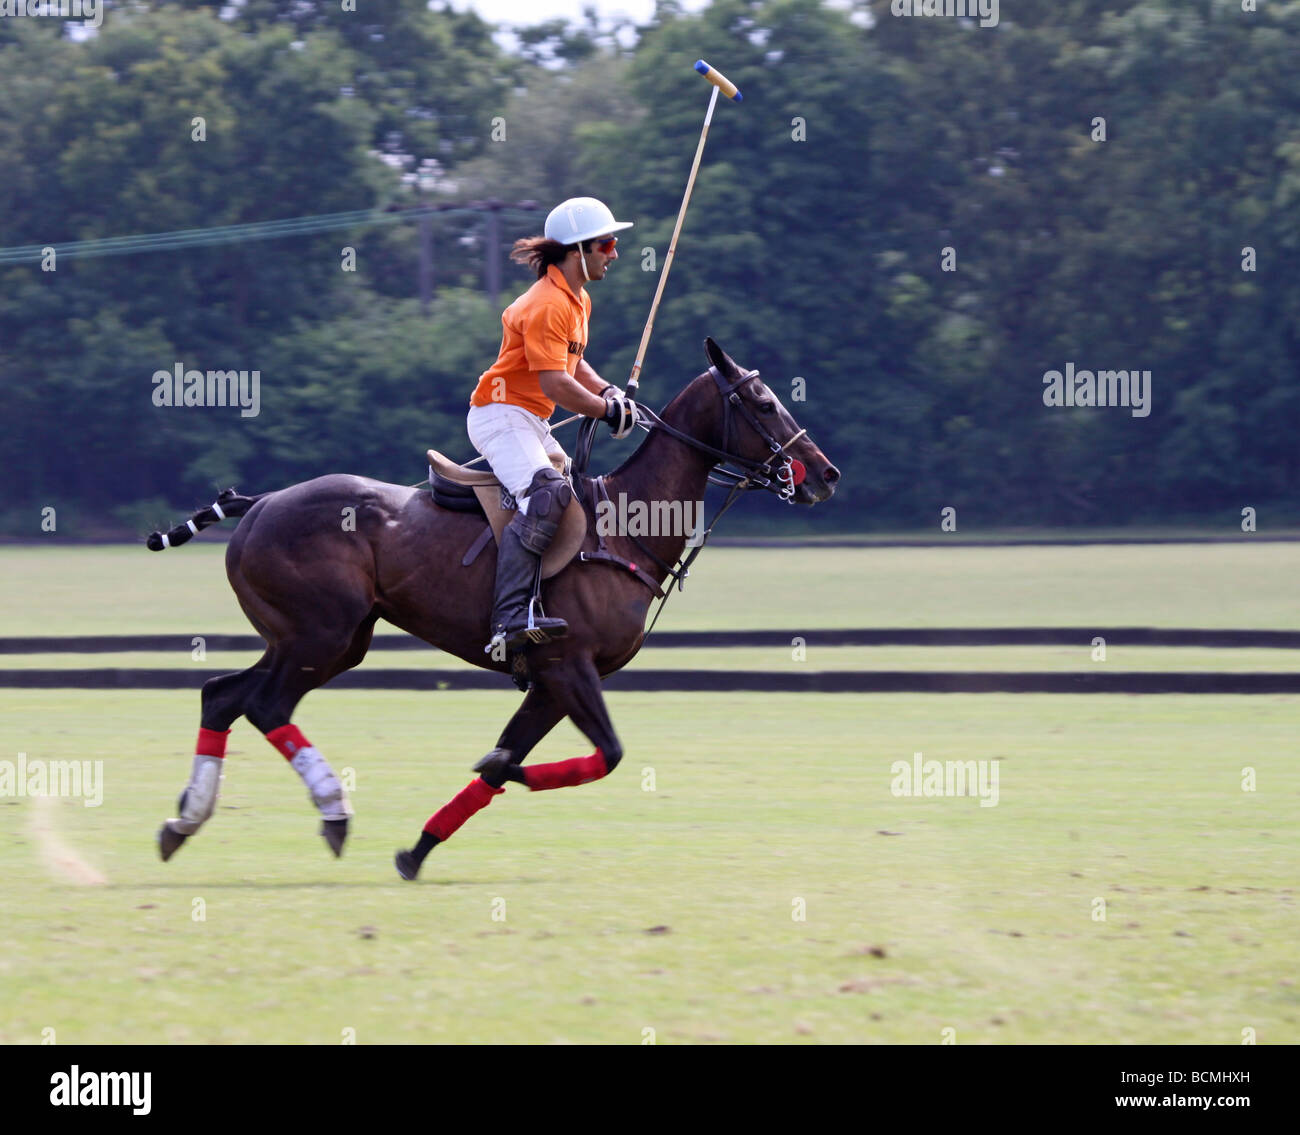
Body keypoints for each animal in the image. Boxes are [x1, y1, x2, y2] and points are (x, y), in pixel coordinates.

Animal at [152, 335, 837, 868]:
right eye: (763, 401)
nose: (826, 474)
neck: (624, 527)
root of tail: (261, 503)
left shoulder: (551, 681)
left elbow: (508, 761)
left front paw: (417, 851)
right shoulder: (570, 666)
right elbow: (599, 755)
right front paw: (489, 777)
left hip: (322, 640)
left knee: (224, 695)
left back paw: (183, 822)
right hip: (319, 635)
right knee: (265, 704)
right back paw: (333, 810)